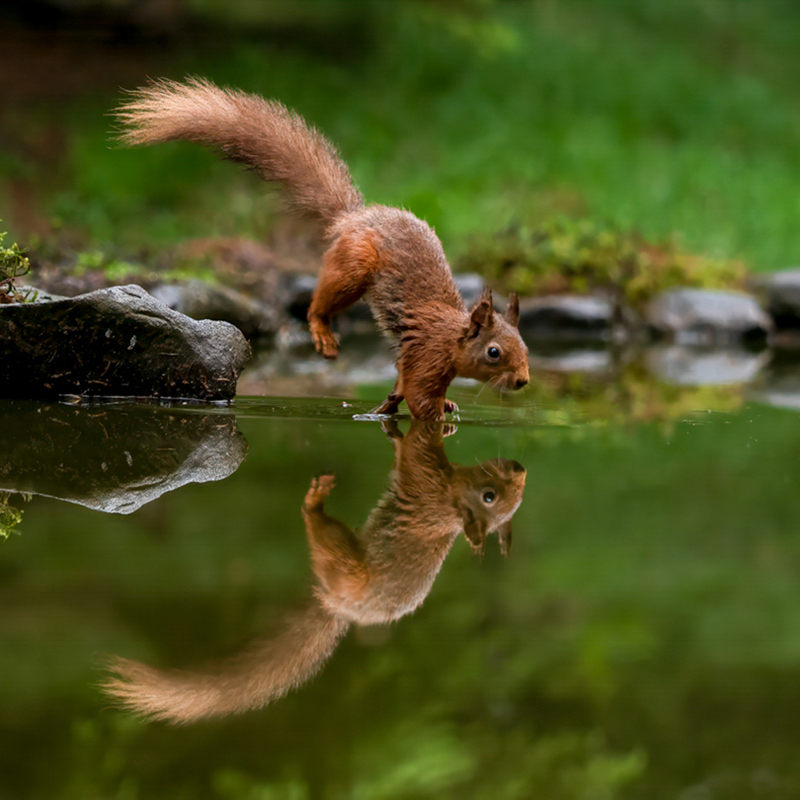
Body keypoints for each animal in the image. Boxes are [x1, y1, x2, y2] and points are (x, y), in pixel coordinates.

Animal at [101, 420, 526, 723]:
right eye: (492, 496)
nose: (520, 469)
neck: (450, 506)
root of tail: (338, 608)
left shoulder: (426, 485)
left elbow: (413, 455)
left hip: (345, 561)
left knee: (322, 534)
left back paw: (314, 502)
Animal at [114, 78, 530, 420]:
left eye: (525, 345)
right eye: (494, 352)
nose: (524, 381)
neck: (451, 336)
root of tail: (354, 216)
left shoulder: (411, 357)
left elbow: (400, 385)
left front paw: (414, 405)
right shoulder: (427, 355)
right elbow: (417, 396)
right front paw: (438, 415)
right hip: (355, 265)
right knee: (318, 302)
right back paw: (322, 333)